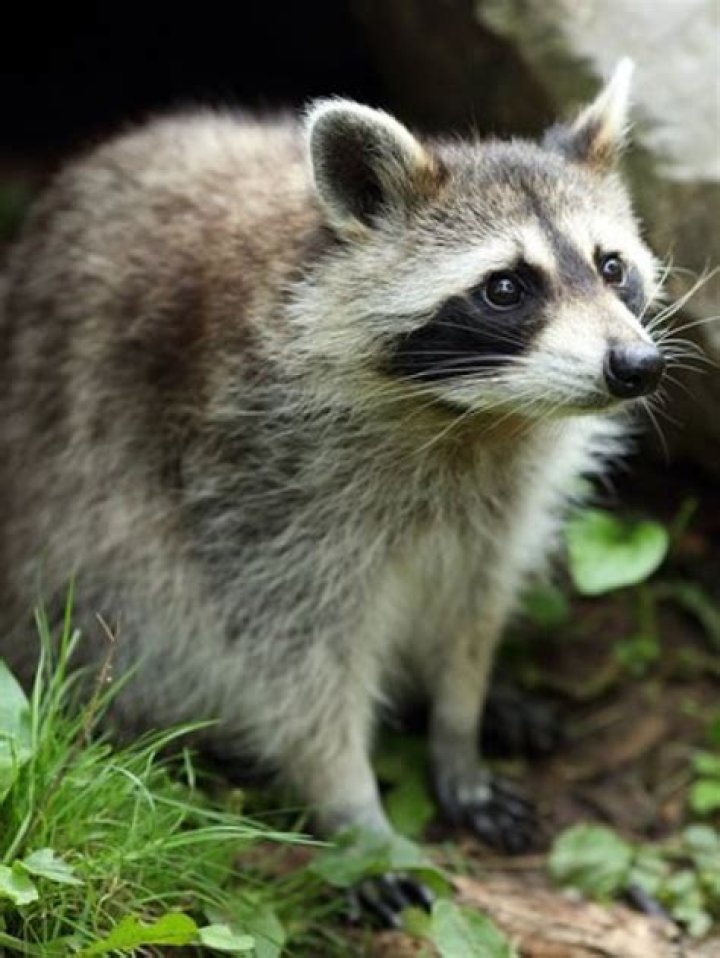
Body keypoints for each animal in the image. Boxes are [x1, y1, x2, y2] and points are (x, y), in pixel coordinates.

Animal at [0, 60, 665, 914]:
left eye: (611, 266)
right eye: (507, 288)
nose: (637, 365)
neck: (474, 418)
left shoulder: (499, 509)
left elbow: (474, 613)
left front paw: (459, 727)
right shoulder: (253, 487)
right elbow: (293, 665)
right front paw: (354, 811)